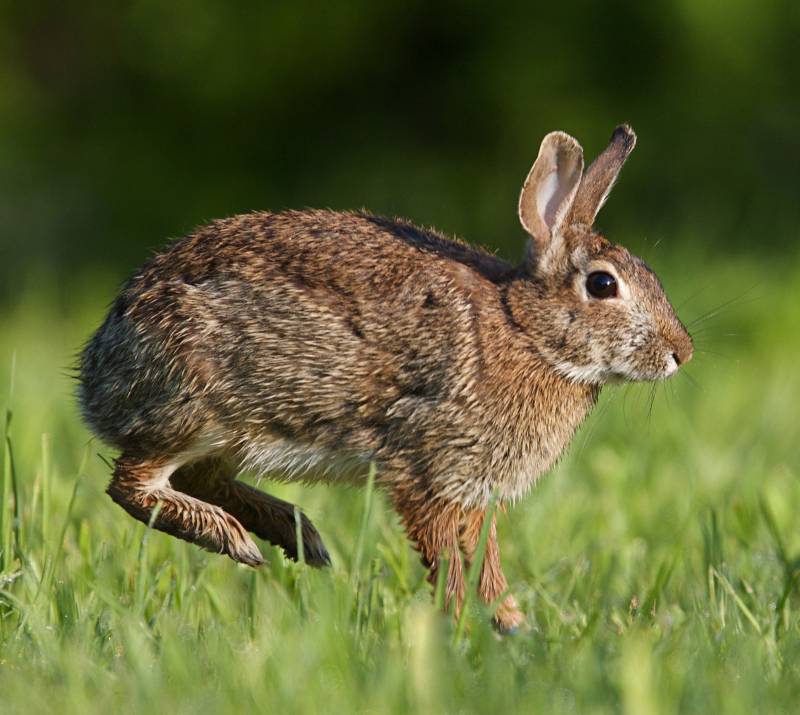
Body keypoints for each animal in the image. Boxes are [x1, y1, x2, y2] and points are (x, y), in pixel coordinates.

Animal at [78, 125, 692, 632]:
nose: (680, 353)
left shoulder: (475, 493)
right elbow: (450, 563)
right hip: (196, 405)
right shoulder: (429, 472)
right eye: (603, 285)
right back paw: (239, 540)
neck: (526, 331)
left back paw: (299, 537)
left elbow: (486, 563)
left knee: (196, 478)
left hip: (229, 434)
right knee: (132, 485)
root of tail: (99, 368)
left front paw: (512, 627)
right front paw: (466, 630)